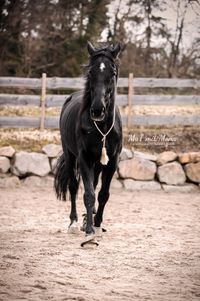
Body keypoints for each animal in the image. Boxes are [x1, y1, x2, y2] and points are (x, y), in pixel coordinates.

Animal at [55, 41, 123, 245]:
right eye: (91, 72)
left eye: (113, 72)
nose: (98, 110)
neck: (101, 127)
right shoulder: (84, 158)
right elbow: (88, 194)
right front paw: (90, 232)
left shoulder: (112, 161)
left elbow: (103, 194)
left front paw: (97, 225)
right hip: (70, 155)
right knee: (74, 186)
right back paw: (74, 223)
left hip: (98, 164)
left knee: (93, 183)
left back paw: (87, 219)